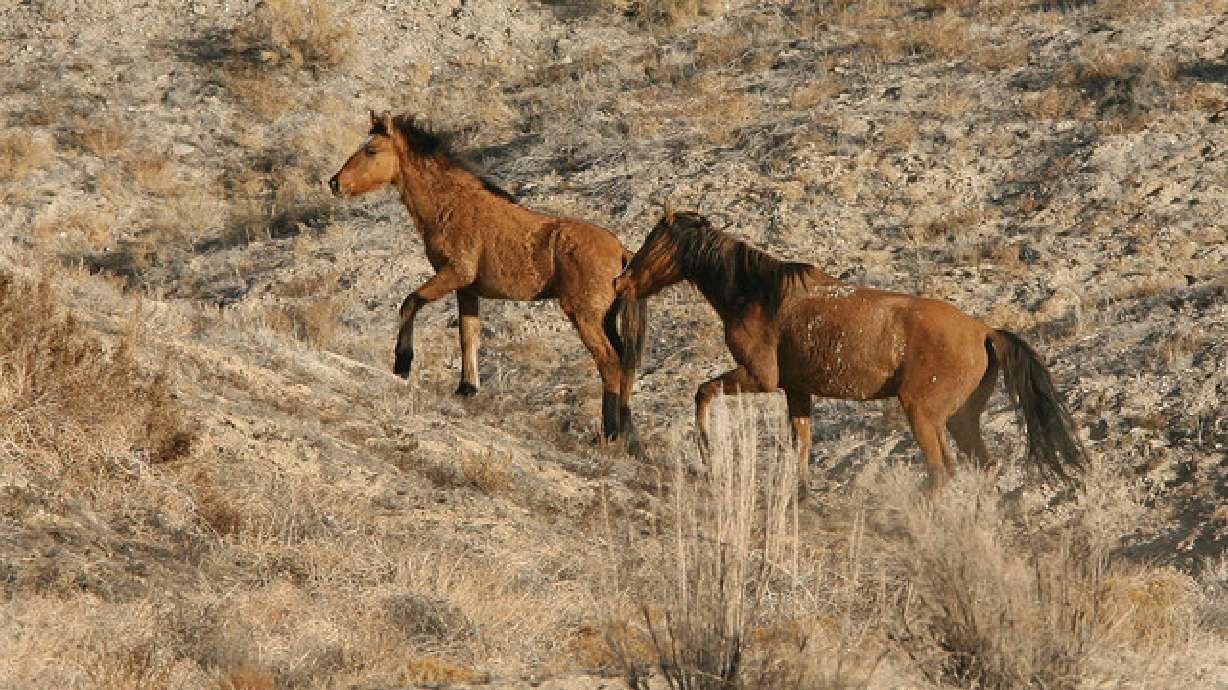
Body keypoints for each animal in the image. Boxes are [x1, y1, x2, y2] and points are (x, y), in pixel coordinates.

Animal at [329, 111, 649, 452]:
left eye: (371, 150)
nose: (335, 183)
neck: (452, 205)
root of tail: (622, 252)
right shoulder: (467, 290)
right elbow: (468, 335)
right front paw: (467, 387)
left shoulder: (455, 273)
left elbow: (410, 302)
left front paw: (403, 364)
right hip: (606, 318)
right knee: (625, 364)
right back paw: (628, 436)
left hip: (585, 316)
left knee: (610, 362)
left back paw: (610, 434)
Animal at [613, 208, 1086, 496]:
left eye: (655, 241)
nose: (622, 282)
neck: (760, 294)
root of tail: (985, 332)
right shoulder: (796, 390)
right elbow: (800, 441)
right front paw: (800, 492)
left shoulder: (758, 378)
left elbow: (703, 392)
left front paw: (708, 452)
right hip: (961, 418)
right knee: (979, 467)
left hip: (925, 415)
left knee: (941, 472)